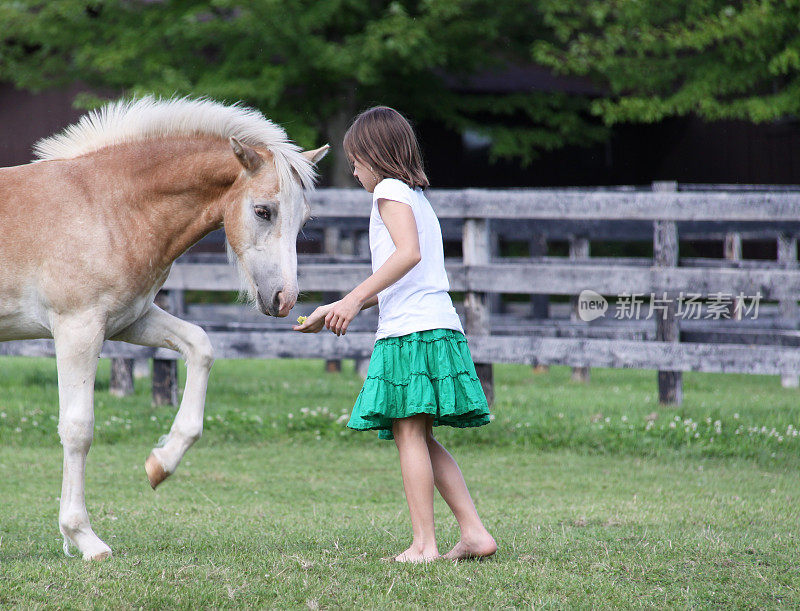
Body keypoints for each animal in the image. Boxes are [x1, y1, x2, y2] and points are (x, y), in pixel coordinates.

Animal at [0, 98, 328, 560]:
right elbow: (78, 428)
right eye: (263, 211)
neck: (107, 205)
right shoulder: (77, 328)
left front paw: (160, 465)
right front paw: (83, 537)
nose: (284, 298)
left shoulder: (130, 320)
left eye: (303, 221)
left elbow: (201, 346)